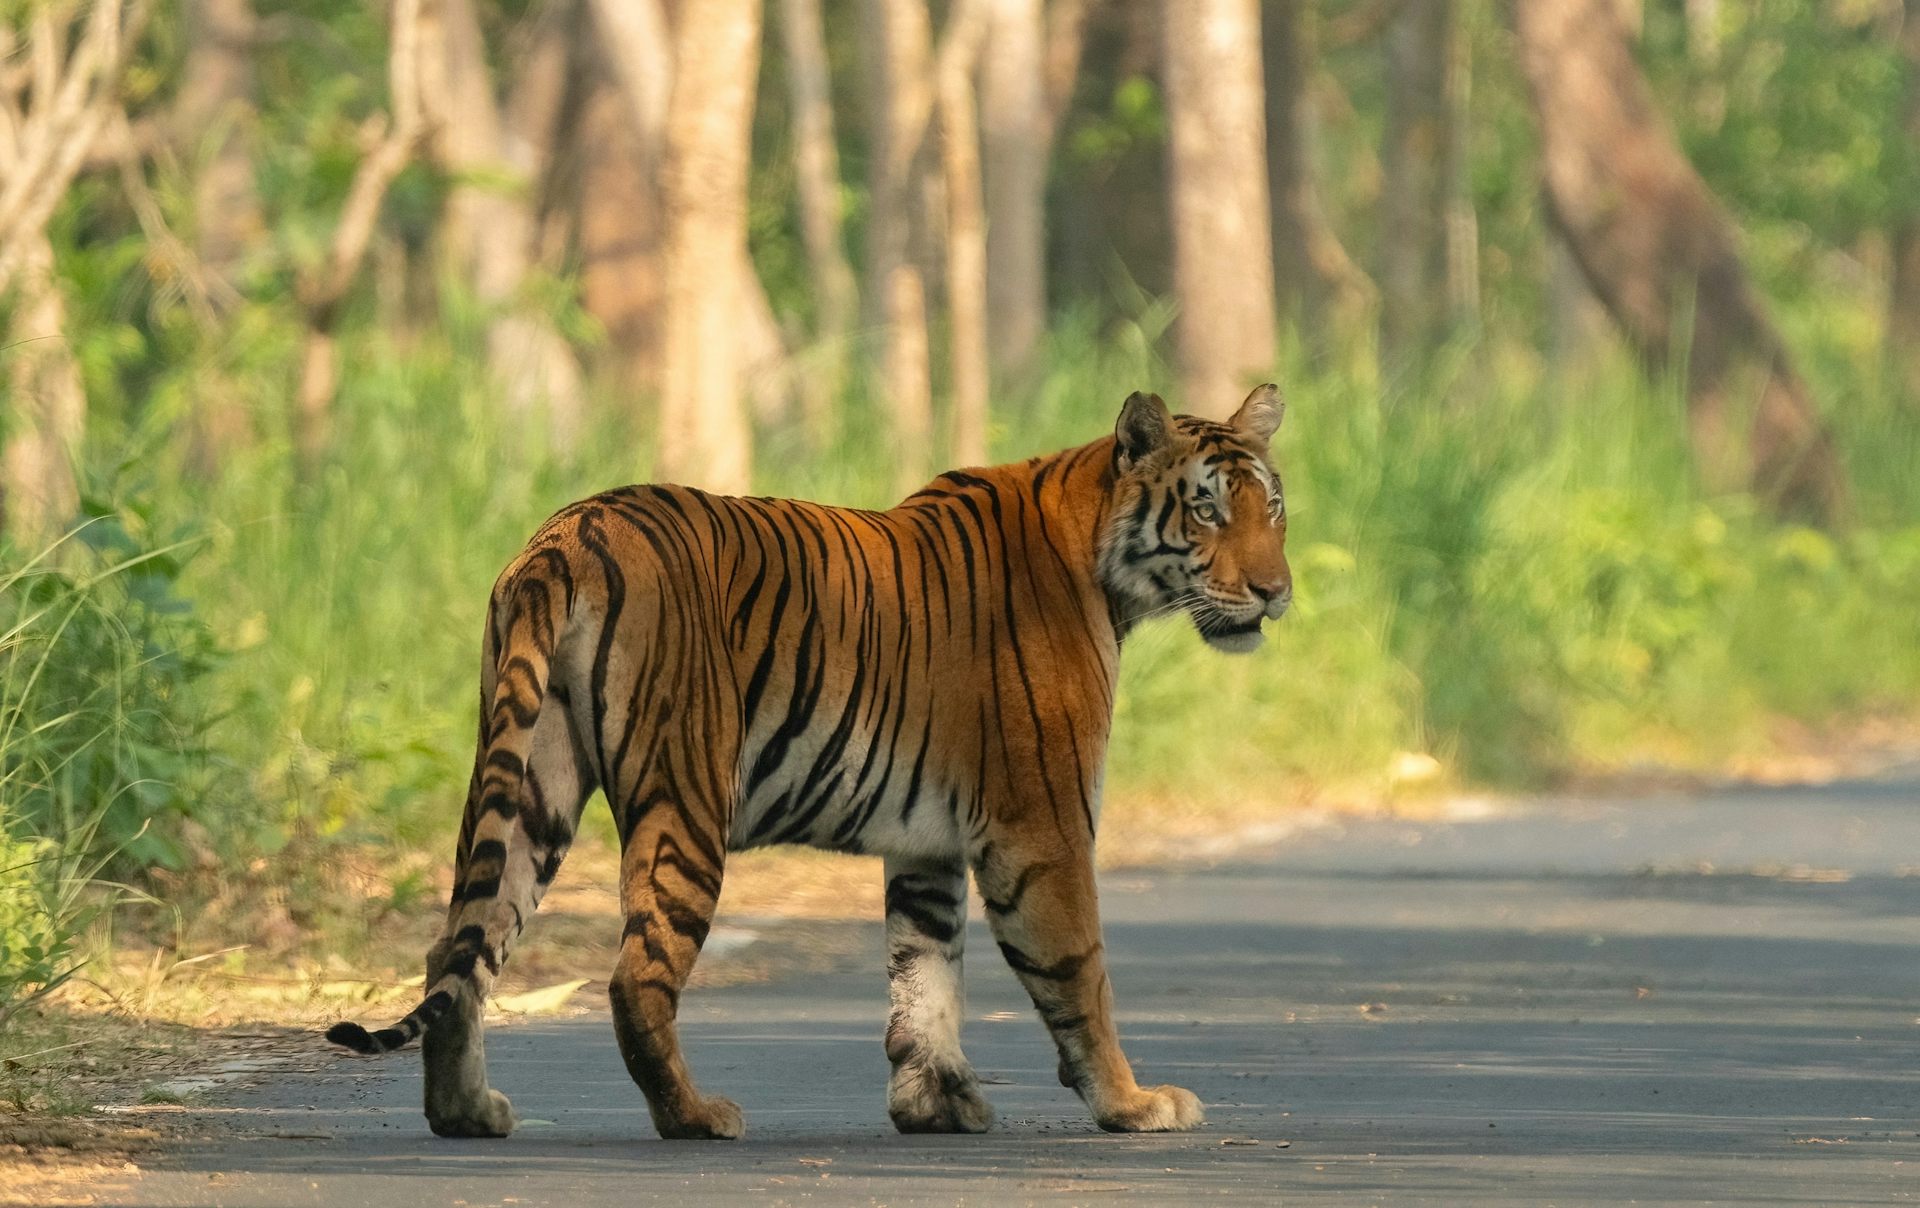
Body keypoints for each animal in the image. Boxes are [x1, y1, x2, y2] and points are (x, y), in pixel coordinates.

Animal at [327, 383, 1292, 1140]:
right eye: (1207, 509)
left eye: (1271, 509)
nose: (1276, 592)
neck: (1102, 558)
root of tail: (568, 532)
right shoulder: (1043, 825)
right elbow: (1079, 972)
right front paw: (1132, 1105)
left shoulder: (930, 843)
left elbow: (924, 973)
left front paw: (935, 1104)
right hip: (686, 795)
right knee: (635, 974)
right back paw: (695, 1116)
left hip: (533, 779)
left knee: (456, 947)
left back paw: (466, 1112)